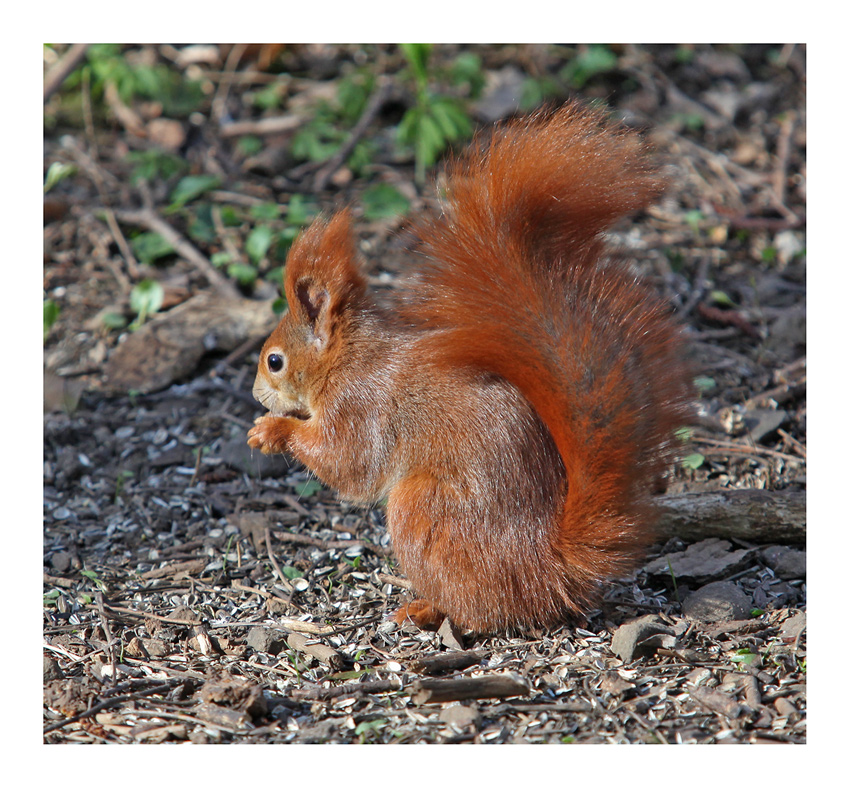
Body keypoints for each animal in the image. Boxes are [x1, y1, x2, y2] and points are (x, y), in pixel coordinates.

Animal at [248, 106, 692, 636]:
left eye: (275, 361)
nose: (255, 394)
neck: (348, 359)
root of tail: (544, 567)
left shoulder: (359, 408)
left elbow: (346, 463)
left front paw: (272, 430)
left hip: (422, 508)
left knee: (478, 609)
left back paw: (425, 609)